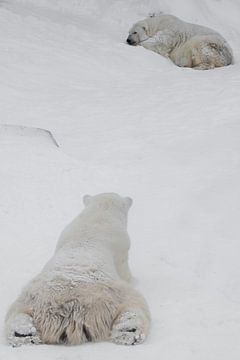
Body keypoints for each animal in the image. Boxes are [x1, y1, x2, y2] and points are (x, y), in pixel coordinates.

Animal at [5, 193, 150, 348]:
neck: (98, 215)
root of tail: (71, 308)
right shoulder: (122, 248)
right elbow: (125, 272)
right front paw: (135, 279)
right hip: (111, 296)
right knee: (134, 304)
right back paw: (130, 331)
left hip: (30, 298)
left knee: (17, 312)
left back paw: (23, 333)